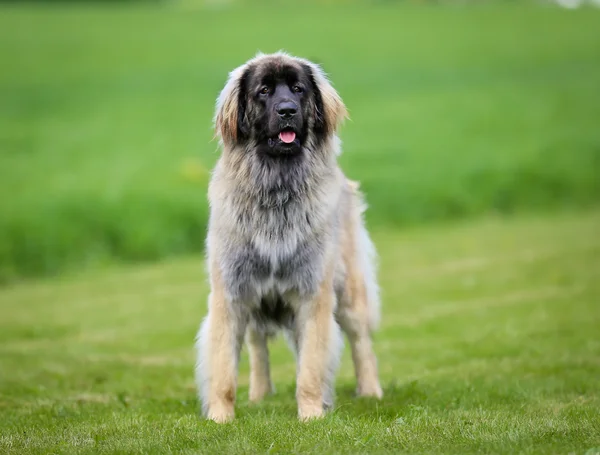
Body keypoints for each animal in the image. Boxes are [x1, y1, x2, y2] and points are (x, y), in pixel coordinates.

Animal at [197, 53, 384, 424]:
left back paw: (370, 391)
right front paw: (221, 417)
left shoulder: (313, 295)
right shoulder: (231, 295)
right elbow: (224, 368)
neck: (276, 192)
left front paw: (311, 413)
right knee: (257, 347)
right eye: (264, 91)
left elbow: (311, 365)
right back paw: (259, 395)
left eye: (298, 89)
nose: (286, 110)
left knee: (361, 342)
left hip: (350, 293)